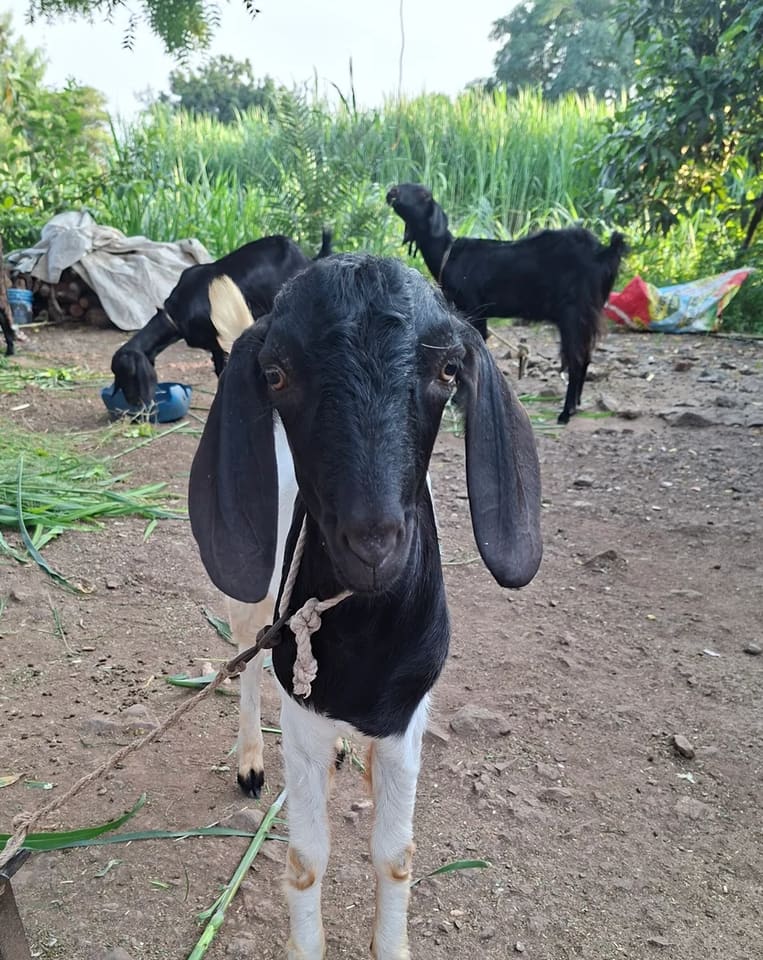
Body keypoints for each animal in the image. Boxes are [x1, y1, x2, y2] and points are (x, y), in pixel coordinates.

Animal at [110, 229, 332, 407]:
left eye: (128, 375)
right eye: (118, 376)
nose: (136, 406)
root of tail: (306, 257)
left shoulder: (222, 339)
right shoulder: (214, 345)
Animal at [189, 254, 542, 958]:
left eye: (448, 370)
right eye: (276, 373)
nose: (374, 542)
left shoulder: (406, 719)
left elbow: (394, 855)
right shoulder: (301, 715)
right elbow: (307, 860)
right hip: (253, 600)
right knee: (247, 662)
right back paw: (249, 760)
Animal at [386, 183, 627, 424]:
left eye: (424, 195)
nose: (392, 191)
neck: (448, 254)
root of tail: (604, 252)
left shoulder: (473, 308)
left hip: (574, 314)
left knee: (576, 360)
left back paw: (566, 412)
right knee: (586, 355)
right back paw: (576, 403)